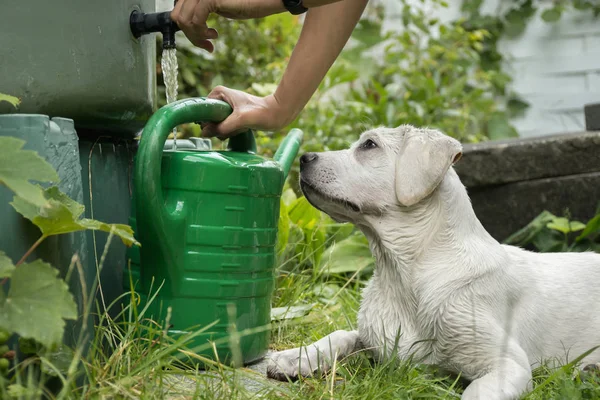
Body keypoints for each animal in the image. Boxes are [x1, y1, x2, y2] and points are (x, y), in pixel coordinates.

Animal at [266, 126, 600, 400]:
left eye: (369, 145)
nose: (304, 158)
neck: (403, 275)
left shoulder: (508, 364)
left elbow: (474, 394)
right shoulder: (378, 339)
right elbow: (341, 334)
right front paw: (294, 357)